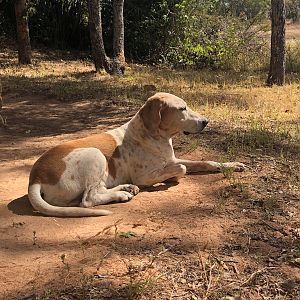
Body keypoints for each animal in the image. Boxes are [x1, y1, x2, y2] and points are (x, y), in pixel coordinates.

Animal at [27, 92, 244, 217]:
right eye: (182, 109)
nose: (206, 121)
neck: (154, 135)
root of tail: (35, 178)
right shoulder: (145, 176)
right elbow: (180, 169)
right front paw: (171, 178)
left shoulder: (173, 159)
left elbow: (207, 162)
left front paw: (232, 165)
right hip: (95, 155)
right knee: (88, 199)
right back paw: (122, 194)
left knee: (96, 191)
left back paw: (126, 188)